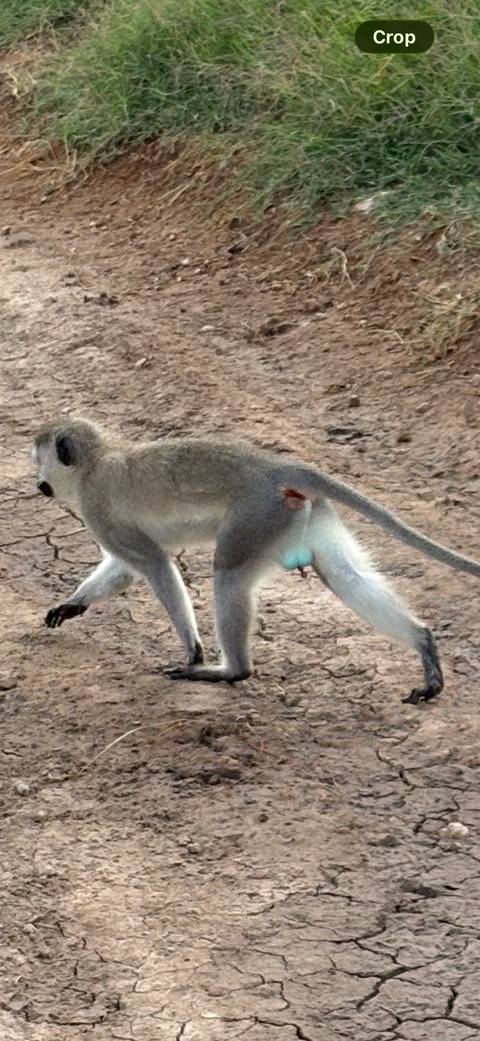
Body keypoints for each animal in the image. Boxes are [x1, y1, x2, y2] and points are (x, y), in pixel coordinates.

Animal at [32, 416, 480, 704]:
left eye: (40, 460)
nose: (39, 484)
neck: (97, 460)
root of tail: (275, 467)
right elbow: (125, 570)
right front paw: (72, 604)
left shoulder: (98, 510)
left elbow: (153, 563)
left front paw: (194, 652)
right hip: (301, 513)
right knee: (345, 575)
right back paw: (424, 645)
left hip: (256, 517)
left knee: (229, 575)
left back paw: (230, 670)